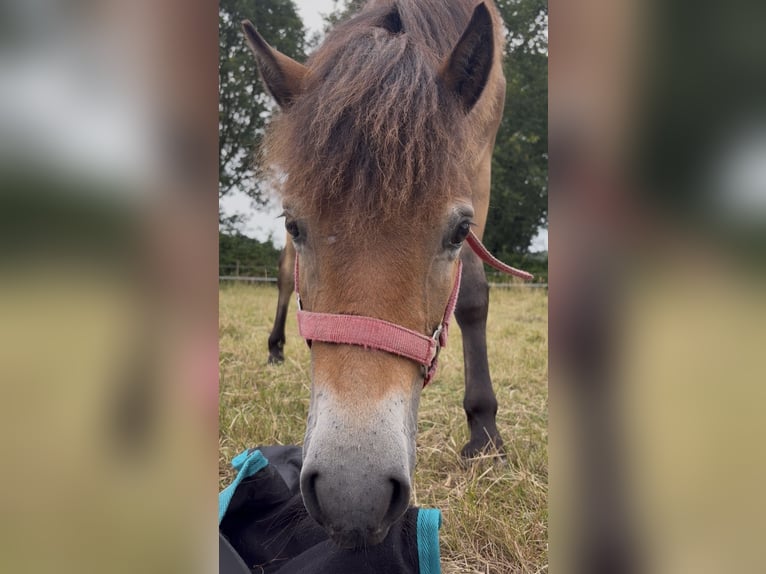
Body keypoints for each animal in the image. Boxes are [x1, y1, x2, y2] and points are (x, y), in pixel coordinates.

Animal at [244, 0, 509, 548]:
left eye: (460, 231)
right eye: (294, 222)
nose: (353, 494)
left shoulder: (480, 166)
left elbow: (473, 296)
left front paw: (484, 434)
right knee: (284, 277)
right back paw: (276, 347)